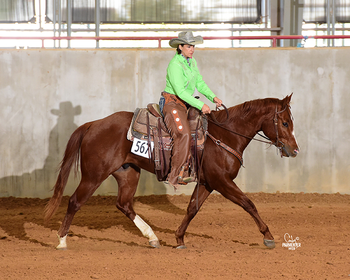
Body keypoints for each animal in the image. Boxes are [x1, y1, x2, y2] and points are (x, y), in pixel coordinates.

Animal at [45, 94, 300, 249]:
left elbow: (192, 209)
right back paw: (62, 241)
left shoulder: (207, 183)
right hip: (94, 176)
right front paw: (268, 236)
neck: (225, 135)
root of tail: (93, 124)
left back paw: (152, 238)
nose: (295, 150)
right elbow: (248, 204)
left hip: (128, 173)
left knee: (124, 204)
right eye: (285, 123)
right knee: (74, 202)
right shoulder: (222, 181)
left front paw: (178, 238)